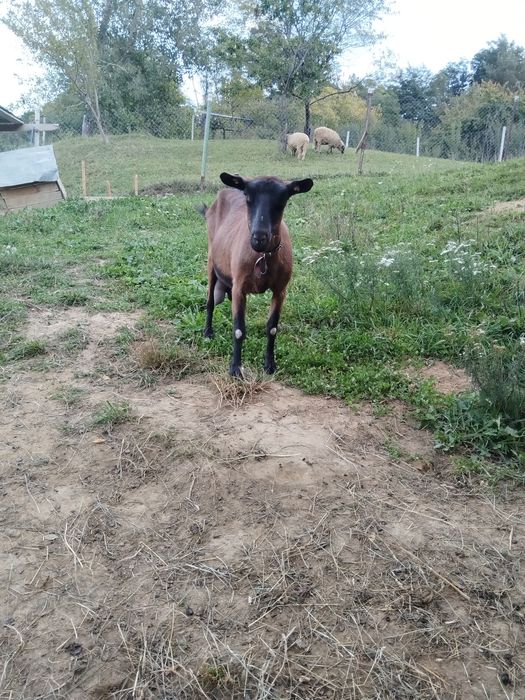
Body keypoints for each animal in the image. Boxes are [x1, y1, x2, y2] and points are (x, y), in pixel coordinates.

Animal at [203, 172, 314, 378]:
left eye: (283, 200)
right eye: (248, 197)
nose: (259, 237)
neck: (263, 256)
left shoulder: (280, 290)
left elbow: (272, 328)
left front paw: (270, 365)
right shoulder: (239, 287)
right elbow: (239, 329)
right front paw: (235, 369)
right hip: (211, 262)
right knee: (209, 302)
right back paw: (207, 333)